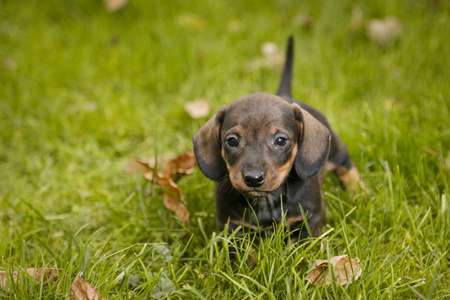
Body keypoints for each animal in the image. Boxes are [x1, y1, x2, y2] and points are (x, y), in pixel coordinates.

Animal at [192, 36, 364, 243]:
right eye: (232, 141)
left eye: (280, 141)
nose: (253, 179)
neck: (266, 201)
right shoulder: (232, 227)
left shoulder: (309, 220)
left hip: (336, 152)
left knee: (347, 166)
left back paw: (361, 193)